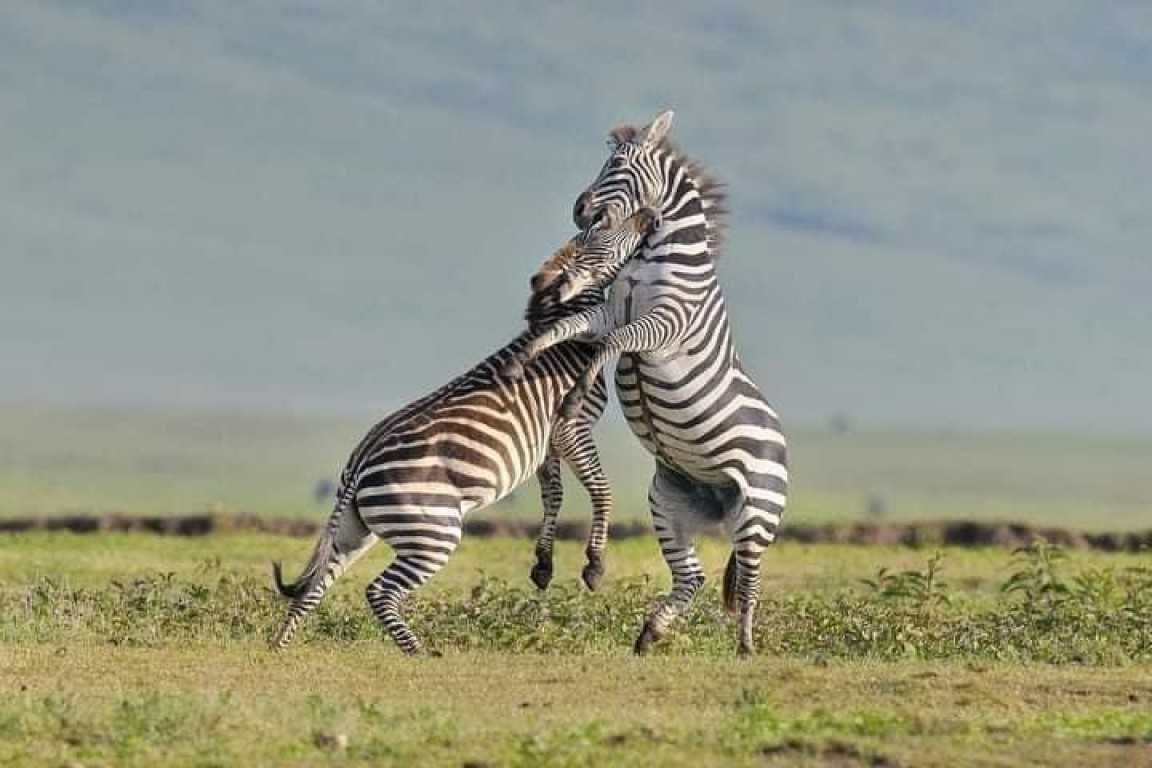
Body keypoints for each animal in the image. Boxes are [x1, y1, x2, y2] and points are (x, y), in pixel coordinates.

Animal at [263, 210, 654, 654]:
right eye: (610, 230)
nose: (650, 214)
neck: (565, 337)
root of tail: (359, 468)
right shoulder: (572, 425)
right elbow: (600, 489)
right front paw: (594, 566)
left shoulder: (547, 442)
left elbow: (553, 495)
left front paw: (543, 565)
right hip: (433, 532)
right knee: (378, 591)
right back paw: (418, 653)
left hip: (354, 531)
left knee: (314, 588)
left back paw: (279, 647)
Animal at [506, 111, 787, 658]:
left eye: (616, 166)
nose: (579, 209)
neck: (657, 259)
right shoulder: (610, 309)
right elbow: (569, 327)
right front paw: (526, 356)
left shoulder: (664, 324)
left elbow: (615, 342)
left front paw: (575, 393)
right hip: (669, 502)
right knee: (693, 577)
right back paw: (649, 634)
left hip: (758, 512)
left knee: (749, 583)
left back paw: (745, 647)